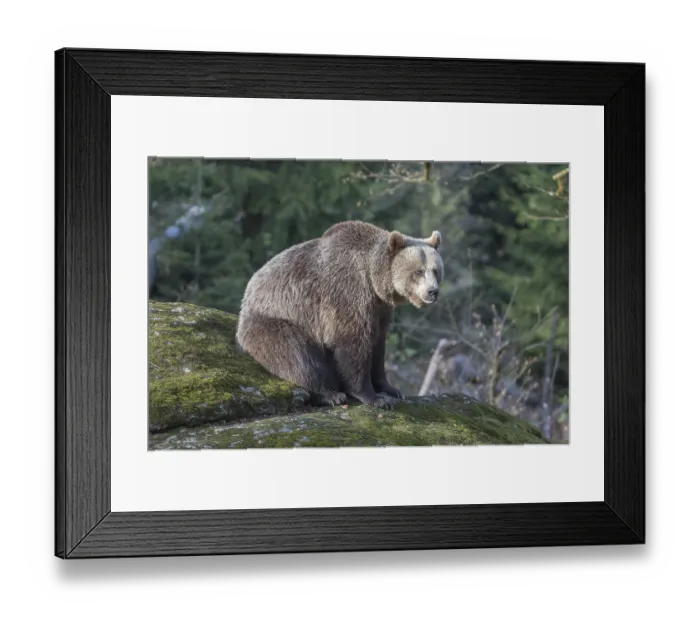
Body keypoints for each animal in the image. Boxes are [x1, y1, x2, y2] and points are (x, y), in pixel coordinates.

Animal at [236, 220, 444, 409]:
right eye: (419, 271)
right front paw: (375, 398)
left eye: (436, 270)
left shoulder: (380, 309)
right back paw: (330, 394)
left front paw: (392, 389)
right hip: (273, 321)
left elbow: (378, 345)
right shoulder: (348, 292)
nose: (433, 291)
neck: (373, 279)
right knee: (296, 355)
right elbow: (352, 343)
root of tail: (246, 296)